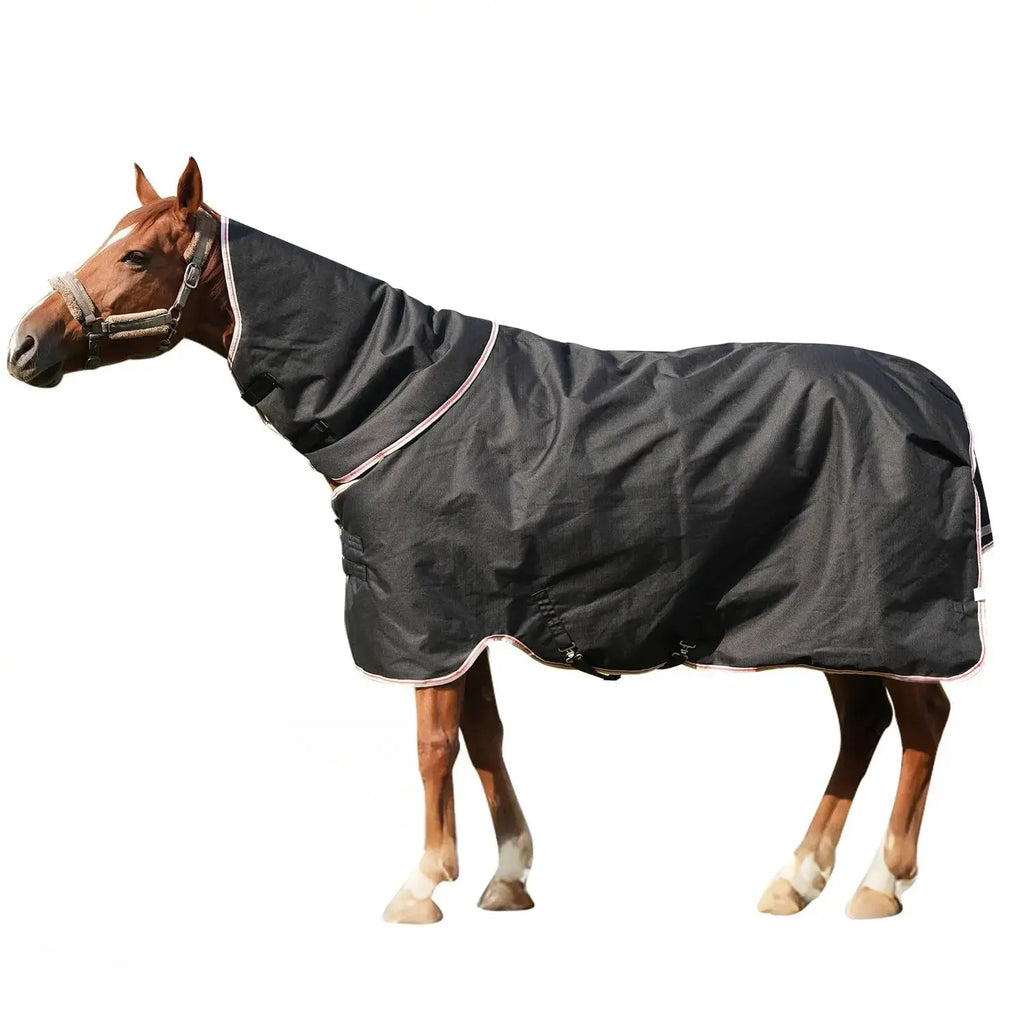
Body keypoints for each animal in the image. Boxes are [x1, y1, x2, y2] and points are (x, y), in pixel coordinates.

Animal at [8, 159, 989, 923]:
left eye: (135, 253)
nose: (25, 344)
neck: (397, 393)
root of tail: (938, 400)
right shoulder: (466, 620)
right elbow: (484, 736)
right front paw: (507, 878)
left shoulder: (428, 617)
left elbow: (434, 747)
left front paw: (421, 886)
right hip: (836, 618)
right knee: (865, 726)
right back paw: (798, 879)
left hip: (886, 617)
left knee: (922, 723)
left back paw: (879, 884)